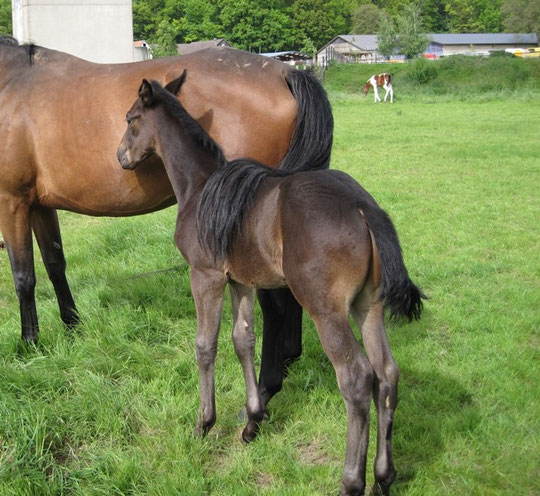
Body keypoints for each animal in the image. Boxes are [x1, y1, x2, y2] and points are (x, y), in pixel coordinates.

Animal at [117, 72, 422, 496]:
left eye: (131, 119)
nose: (121, 157)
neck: (200, 187)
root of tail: (364, 208)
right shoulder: (241, 282)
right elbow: (243, 340)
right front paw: (252, 421)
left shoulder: (205, 276)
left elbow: (205, 345)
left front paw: (204, 423)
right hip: (368, 307)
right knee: (387, 375)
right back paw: (383, 475)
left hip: (326, 311)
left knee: (357, 379)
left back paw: (351, 481)